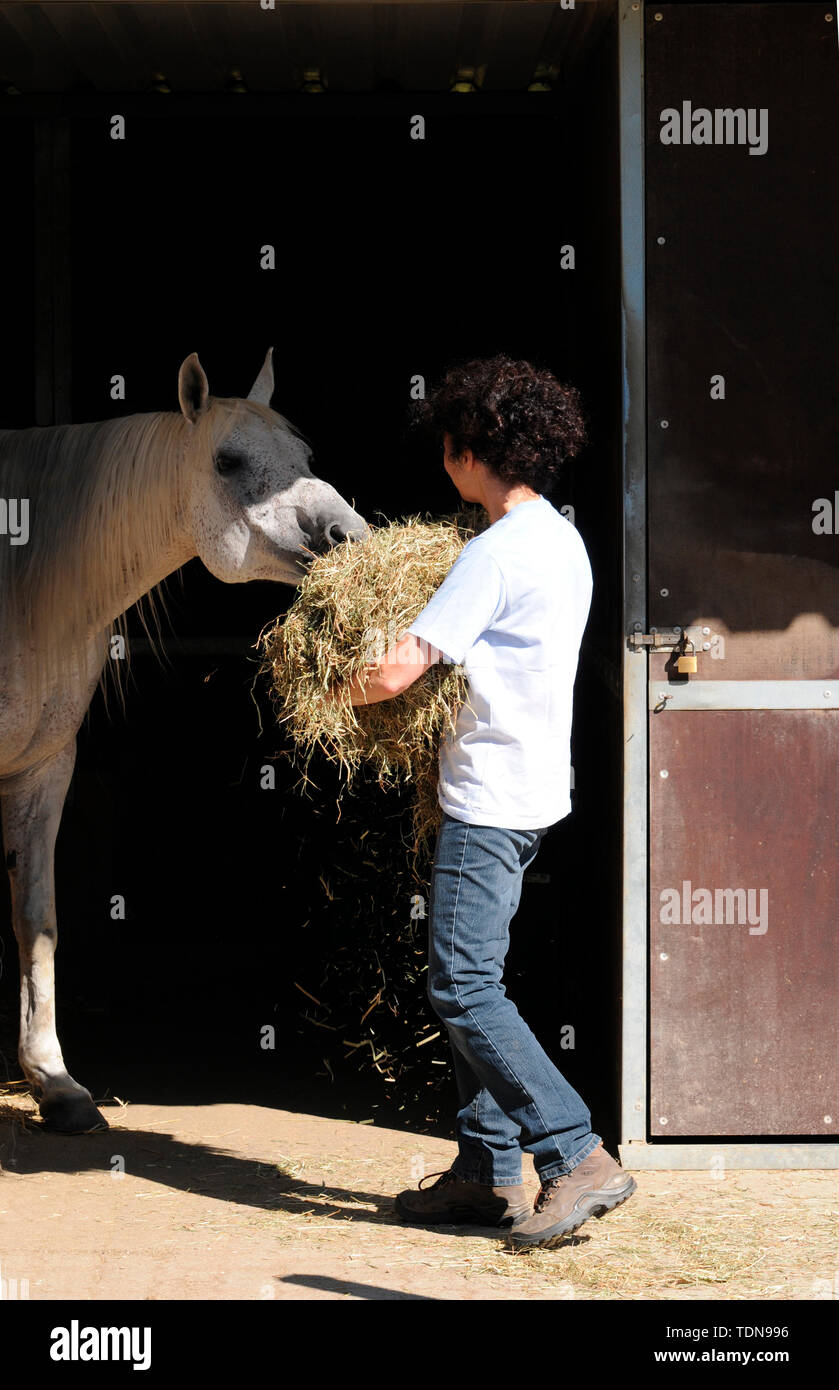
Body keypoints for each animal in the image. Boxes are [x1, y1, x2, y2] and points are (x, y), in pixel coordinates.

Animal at [0, 347, 366, 1128]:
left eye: (304, 457)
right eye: (228, 461)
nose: (347, 536)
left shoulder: (43, 766)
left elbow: (36, 918)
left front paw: (56, 1084)